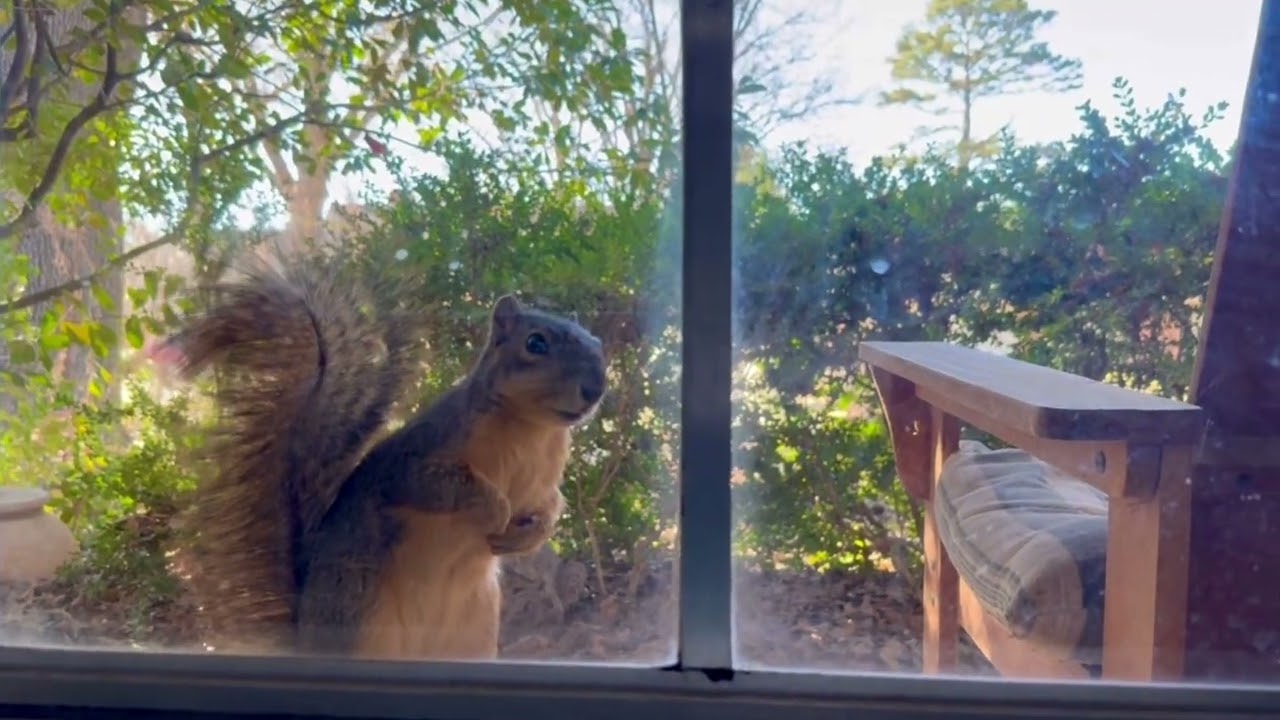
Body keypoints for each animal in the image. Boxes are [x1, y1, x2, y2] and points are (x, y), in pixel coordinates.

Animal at [159, 250, 607, 660]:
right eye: (535, 343)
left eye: (599, 346)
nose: (596, 389)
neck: (531, 429)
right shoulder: (417, 456)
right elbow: (436, 484)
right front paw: (494, 507)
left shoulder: (544, 483)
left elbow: (551, 506)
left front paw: (530, 534)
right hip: (359, 615)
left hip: (474, 634)